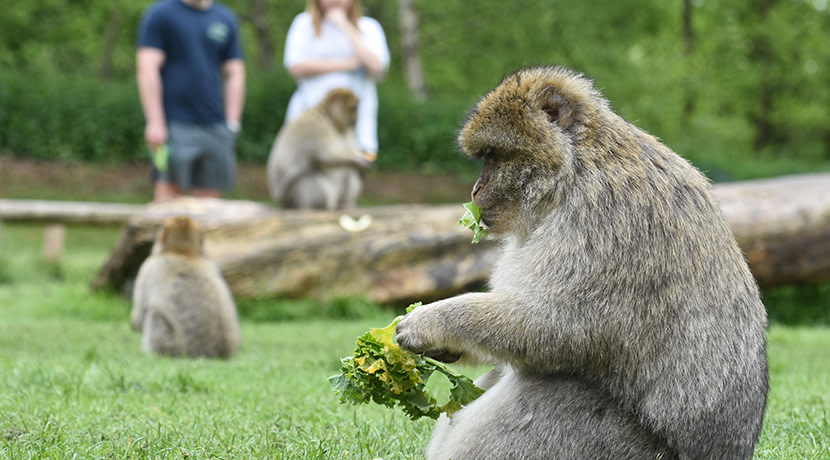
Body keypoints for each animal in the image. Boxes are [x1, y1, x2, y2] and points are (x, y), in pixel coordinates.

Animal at [131, 216, 240, 360]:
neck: (183, 252)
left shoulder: (148, 267)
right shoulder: (212, 264)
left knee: (154, 314)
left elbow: (139, 315)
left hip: (172, 346)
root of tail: (211, 354)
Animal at [398, 65, 772, 460]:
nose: (475, 189)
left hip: (617, 445)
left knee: (545, 389)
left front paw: (433, 321)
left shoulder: (603, 220)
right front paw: (445, 347)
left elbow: (556, 326)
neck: (576, 168)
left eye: (494, 157)